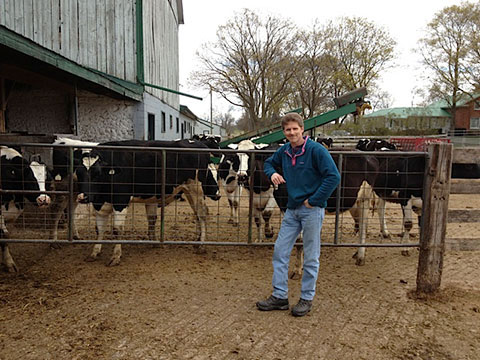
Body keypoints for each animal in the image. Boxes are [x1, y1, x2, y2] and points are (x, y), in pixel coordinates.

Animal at [75, 139, 221, 266]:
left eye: (97, 173)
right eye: (79, 173)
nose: (83, 197)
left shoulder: (121, 201)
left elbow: (117, 229)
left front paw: (115, 256)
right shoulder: (99, 204)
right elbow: (99, 229)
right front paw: (94, 252)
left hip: (196, 189)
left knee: (202, 214)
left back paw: (201, 246)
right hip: (188, 191)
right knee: (197, 214)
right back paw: (197, 240)